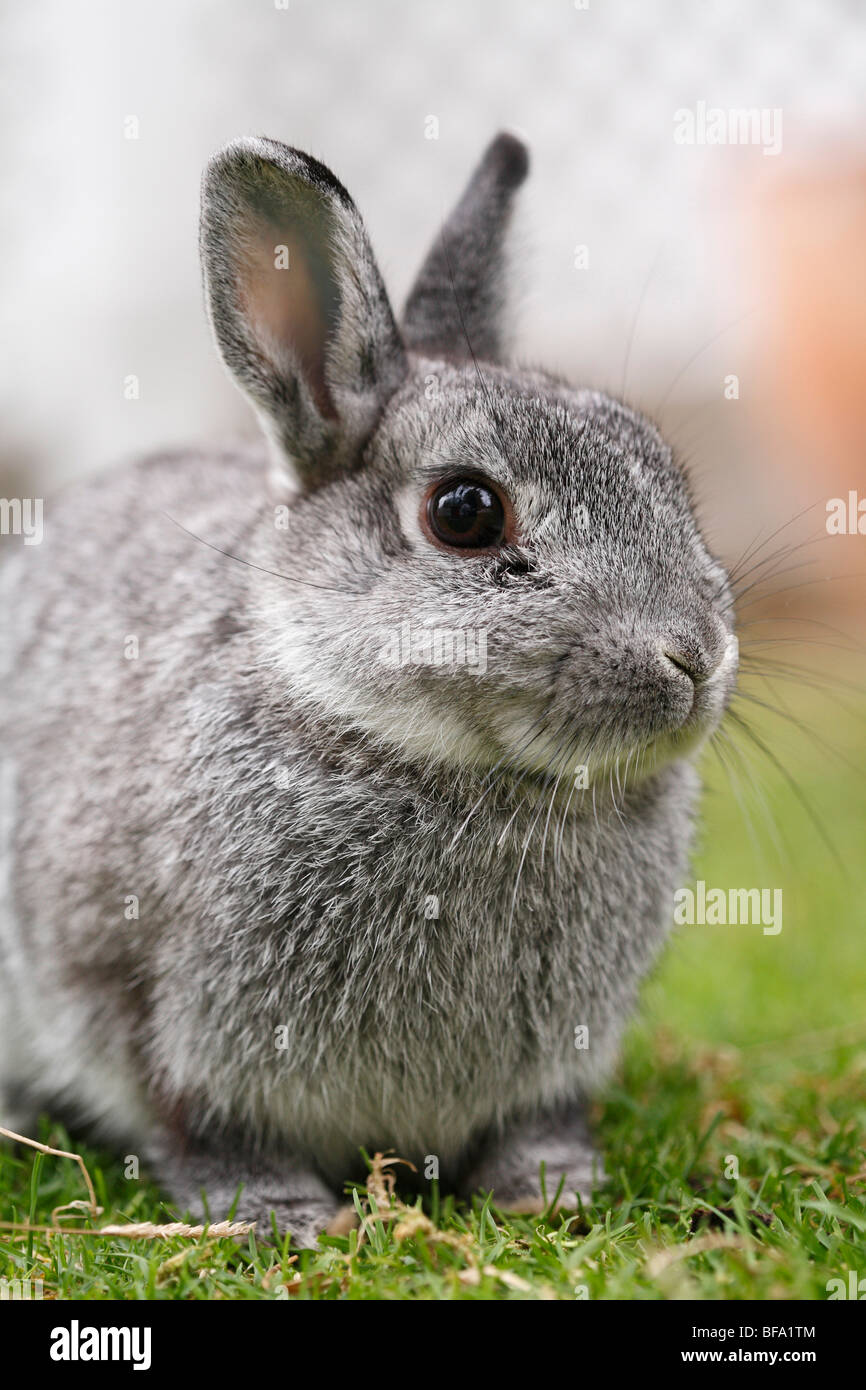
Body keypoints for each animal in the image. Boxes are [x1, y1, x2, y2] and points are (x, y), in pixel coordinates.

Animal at [0, 131, 739, 1246]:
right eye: (465, 512)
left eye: (666, 475)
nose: (693, 658)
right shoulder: (142, 1004)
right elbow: (197, 1123)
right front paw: (284, 1217)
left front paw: (548, 1186)